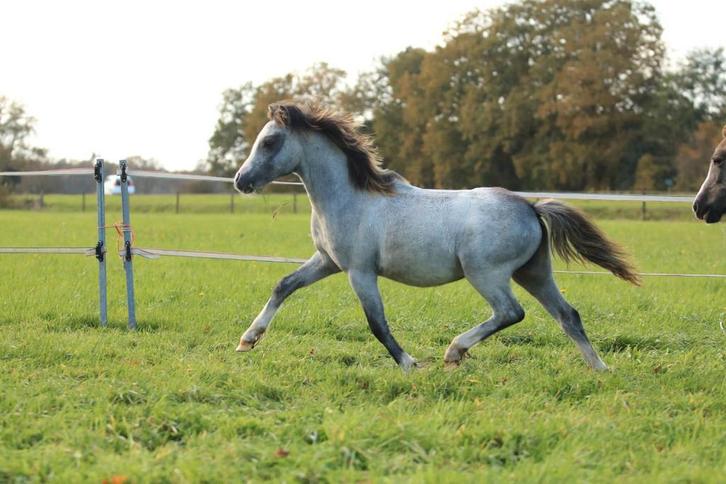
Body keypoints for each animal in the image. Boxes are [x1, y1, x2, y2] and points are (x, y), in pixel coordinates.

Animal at [233, 101, 640, 371]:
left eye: (269, 142)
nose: (240, 181)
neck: (351, 197)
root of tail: (531, 207)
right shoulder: (328, 262)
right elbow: (284, 285)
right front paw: (247, 340)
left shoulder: (359, 271)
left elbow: (377, 323)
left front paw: (409, 363)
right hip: (535, 273)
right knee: (567, 315)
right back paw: (600, 370)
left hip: (486, 274)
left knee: (511, 312)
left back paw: (454, 351)